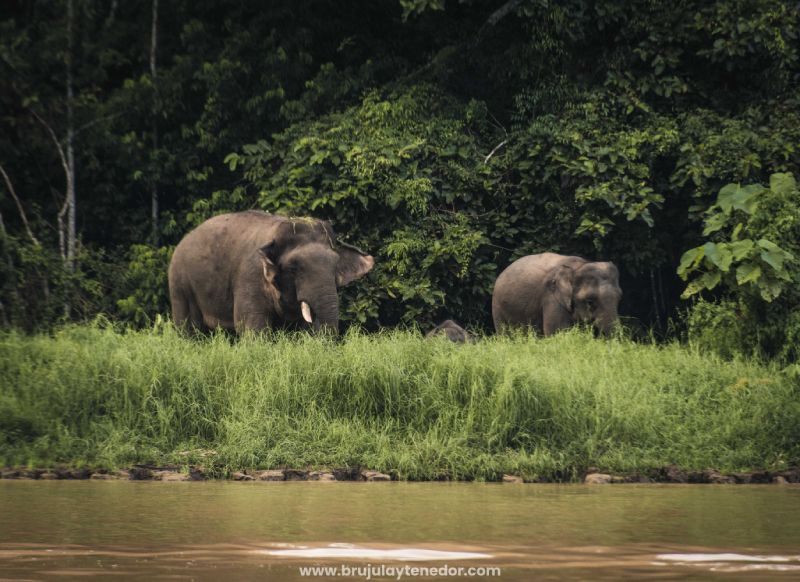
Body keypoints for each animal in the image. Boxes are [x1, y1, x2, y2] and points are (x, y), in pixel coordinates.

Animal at [169, 212, 376, 336]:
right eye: (294, 268)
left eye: (335, 265)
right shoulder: (250, 277)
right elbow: (253, 330)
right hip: (179, 284)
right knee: (190, 330)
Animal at [490, 252, 620, 338]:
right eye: (590, 302)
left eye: (619, 298)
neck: (578, 266)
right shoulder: (551, 296)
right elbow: (557, 333)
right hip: (497, 305)